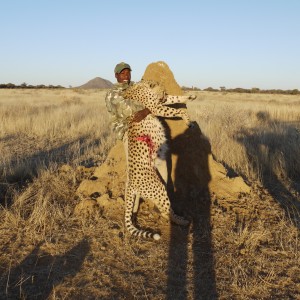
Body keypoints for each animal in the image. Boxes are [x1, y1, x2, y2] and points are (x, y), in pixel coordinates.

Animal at [122, 80, 197, 241]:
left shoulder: (159, 104)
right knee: (166, 211)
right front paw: (187, 120)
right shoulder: (155, 107)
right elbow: (178, 111)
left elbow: (175, 98)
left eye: (164, 93)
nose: (163, 97)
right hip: (159, 189)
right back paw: (183, 221)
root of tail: (131, 183)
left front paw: (190, 96)